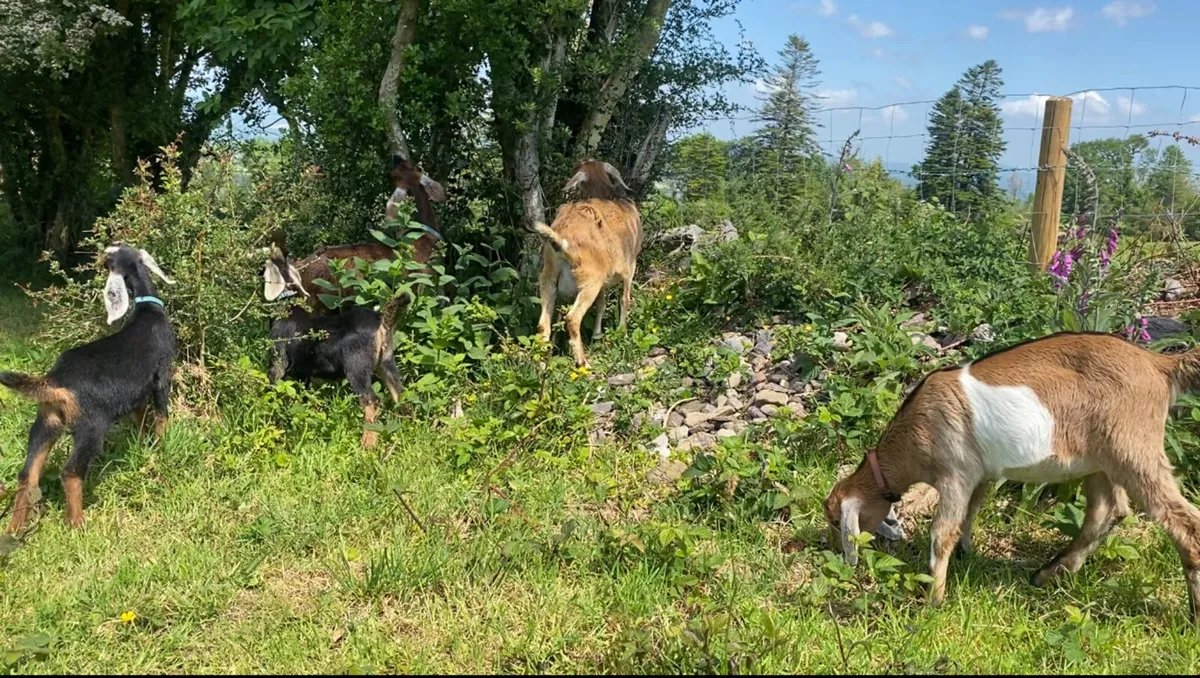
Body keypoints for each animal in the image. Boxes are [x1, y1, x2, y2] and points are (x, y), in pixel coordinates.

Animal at [1, 245, 176, 533]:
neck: (146, 307)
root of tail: (55, 381)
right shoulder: (161, 374)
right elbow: (162, 414)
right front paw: (162, 446)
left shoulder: (137, 393)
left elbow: (140, 417)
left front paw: (143, 444)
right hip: (91, 427)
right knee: (70, 472)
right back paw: (76, 523)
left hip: (45, 423)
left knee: (27, 475)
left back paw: (15, 527)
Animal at [262, 249, 405, 449]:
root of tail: (381, 319)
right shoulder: (304, 373)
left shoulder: (278, 363)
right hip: (386, 363)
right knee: (400, 393)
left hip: (356, 367)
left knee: (371, 401)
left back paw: (367, 444)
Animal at [532, 159, 643, 367]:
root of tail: (562, 238)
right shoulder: (630, 267)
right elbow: (624, 299)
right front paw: (621, 332)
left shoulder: (604, 281)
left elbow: (601, 303)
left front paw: (597, 336)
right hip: (590, 280)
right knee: (572, 318)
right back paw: (583, 362)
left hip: (548, 278)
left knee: (543, 325)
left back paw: (541, 364)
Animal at [823, 331, 1200, 621]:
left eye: (835, 521)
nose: (838, 555)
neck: (915, 427)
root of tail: (1159, 366)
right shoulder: (980, 475)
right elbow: (971, 512)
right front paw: (966, 552)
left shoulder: (955, 472)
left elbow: (942, 532)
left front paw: (932, 601)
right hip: (1100, 461)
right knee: (1107, 511)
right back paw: (1050, 573)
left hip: (1132, 448)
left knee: (1184, 523)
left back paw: (1192, 615)